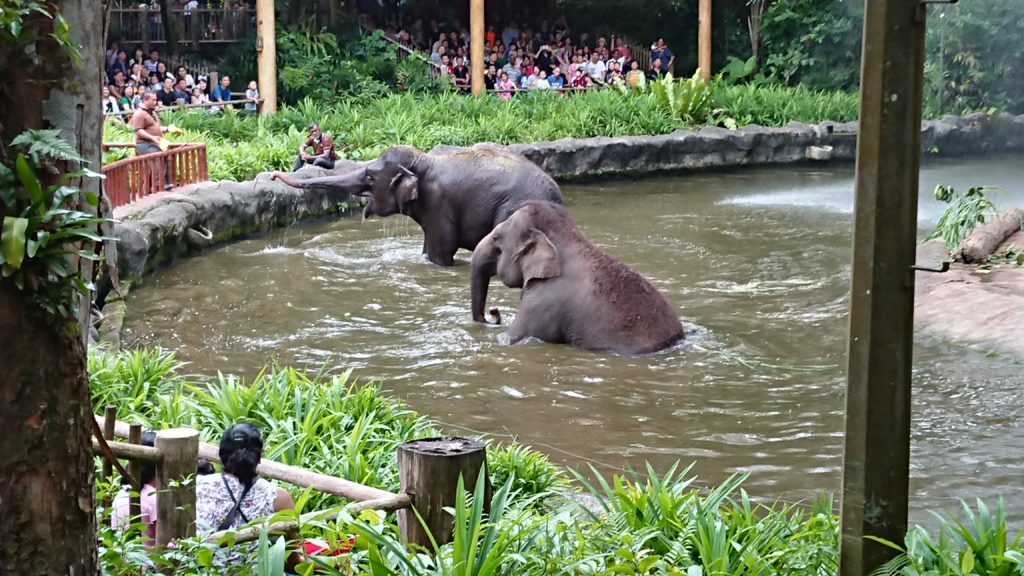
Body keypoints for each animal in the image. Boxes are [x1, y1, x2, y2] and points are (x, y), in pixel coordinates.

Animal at [268, 146, 565, 266]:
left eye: (370, 177)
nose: (272, 175)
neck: (424, 160)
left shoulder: (440, 203)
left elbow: (440, 252)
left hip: (513, 211)